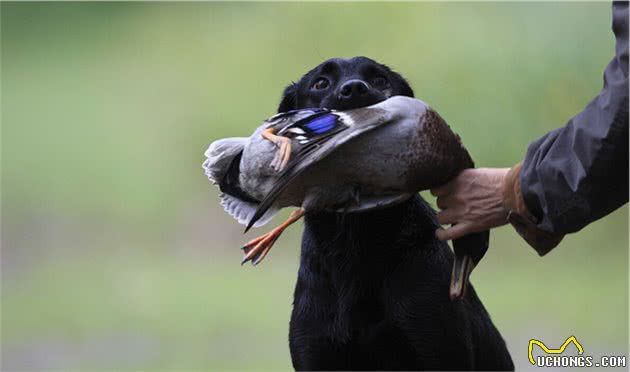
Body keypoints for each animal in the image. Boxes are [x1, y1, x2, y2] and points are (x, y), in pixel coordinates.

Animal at [278, 56, 516, 370]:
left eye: (380, 80)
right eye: (320, 83)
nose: (354, 89)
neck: (355, 241)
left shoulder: (439, 348)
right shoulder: (314, 353)